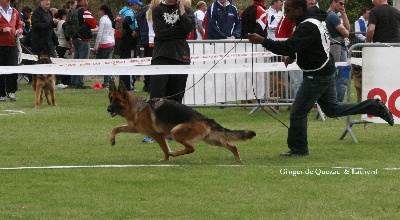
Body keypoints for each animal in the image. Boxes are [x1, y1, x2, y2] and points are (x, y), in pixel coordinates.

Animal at [106, 79, 256, 162]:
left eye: (117, 100)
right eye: (110, 99)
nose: (108, 109)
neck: (136, 106)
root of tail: (206, 119)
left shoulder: (157, 135)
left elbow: (165, 149)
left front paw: (165, 159)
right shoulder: (134, 128)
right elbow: (115, 128)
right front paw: (112, 140)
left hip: (176, 132)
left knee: (191, 148)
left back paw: (175, 153)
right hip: (212, 140)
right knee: (232, 145)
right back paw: (238, 160)